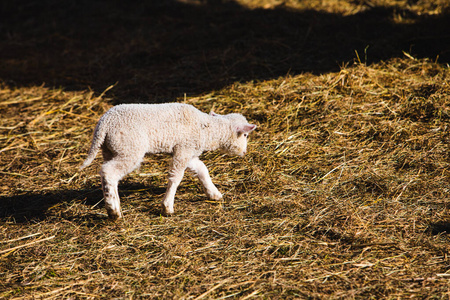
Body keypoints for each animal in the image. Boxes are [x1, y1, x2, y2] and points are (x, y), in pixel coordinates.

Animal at [80, 102, 256, 218]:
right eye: (245, 135)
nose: (245, 152)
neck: (206, 128)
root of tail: (103, 124)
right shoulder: (184, 149)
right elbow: (176, 177)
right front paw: (167, 207)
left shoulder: (187, 150)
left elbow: (202, 169)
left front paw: (214, 194)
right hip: (130, 148)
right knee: (108, 172)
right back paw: (113, 211)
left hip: (112, 149)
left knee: (110, 176)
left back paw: (114, 203)